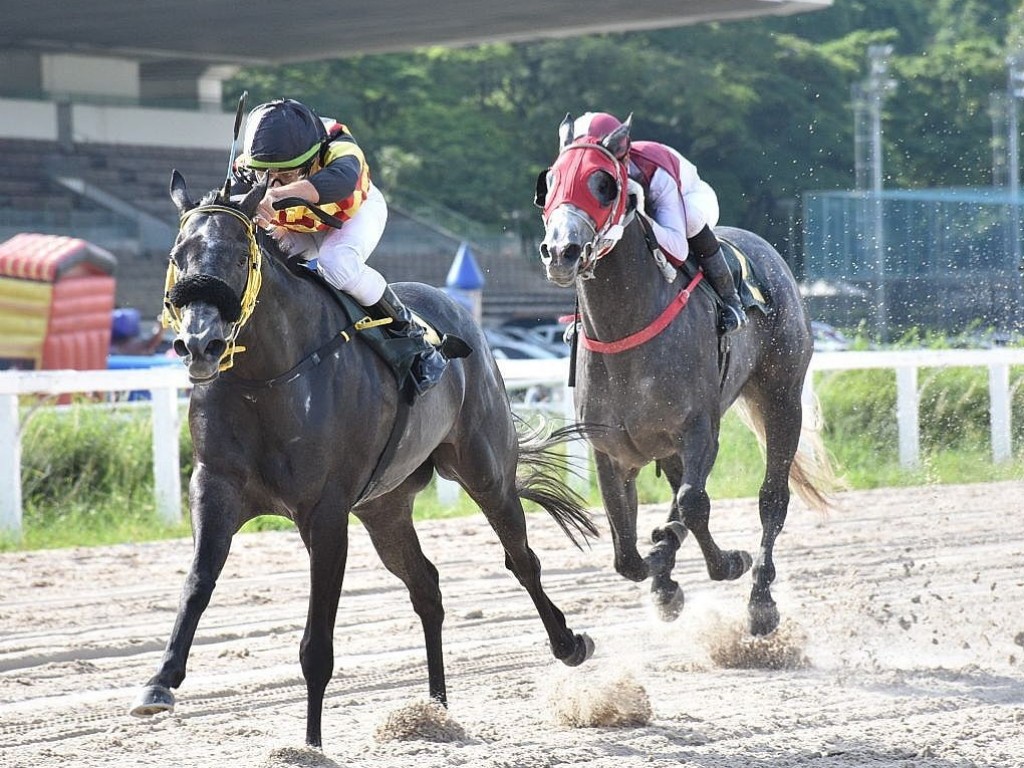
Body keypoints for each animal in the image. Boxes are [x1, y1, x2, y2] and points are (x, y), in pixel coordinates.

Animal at [131, 171, 598, 749]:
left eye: (240, 256)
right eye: (178, 255)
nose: (200, 344)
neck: (267, 377)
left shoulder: (326, 513)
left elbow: (317, 644)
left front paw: (311, 744)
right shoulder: (216, 487)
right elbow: (197, 580)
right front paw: (159, 682)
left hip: (485, 472)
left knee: (522, 559)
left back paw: (568, 644)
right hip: (385, 507)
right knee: (426, 584)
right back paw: (435, 709)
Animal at [540, 115, 835, 638]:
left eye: (602, 183)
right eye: (550, 181)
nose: (561, 252)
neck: (624, 331)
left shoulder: (699, 429)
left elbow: (694, 506)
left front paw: (724, 563)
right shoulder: (611, 451)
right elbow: (627, 553)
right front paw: (664, 576)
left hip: (782, 397)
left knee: (771, 499)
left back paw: (760, 600)